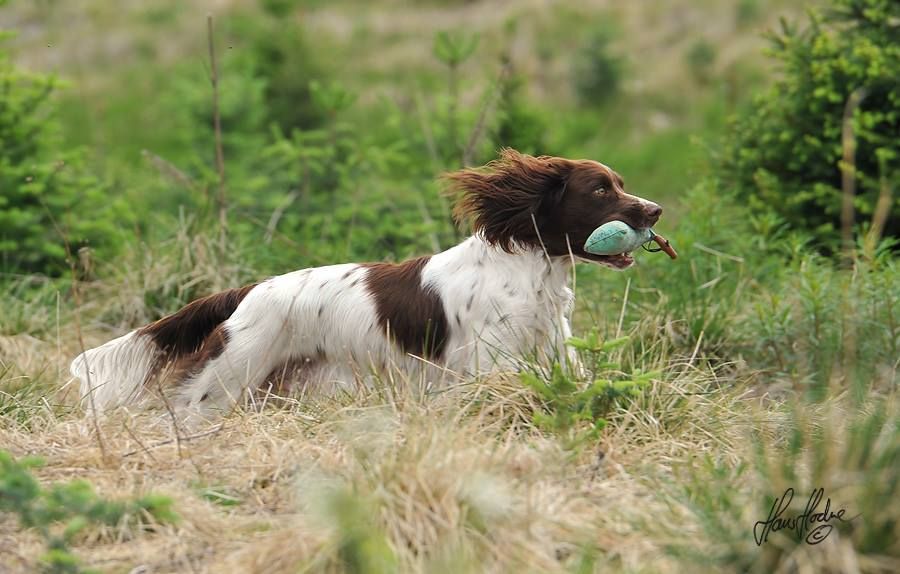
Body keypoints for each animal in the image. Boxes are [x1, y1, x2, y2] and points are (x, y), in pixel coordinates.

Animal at [70, 150, 660, 418]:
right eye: (600, 190)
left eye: (620, 184)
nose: (655, 210)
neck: (527, 271)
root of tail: (247, 292)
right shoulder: (491, 363)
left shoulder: (555, 350)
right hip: (227, 379)